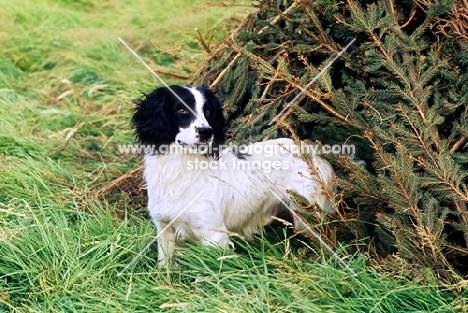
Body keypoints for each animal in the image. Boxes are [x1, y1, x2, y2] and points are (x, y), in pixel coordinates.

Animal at [132, 85, 336, 266]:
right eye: (181, 110)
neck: (180, 169)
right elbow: (165, 266)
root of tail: (310, 151)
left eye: (207, 111)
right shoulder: (164, 229)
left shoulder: (214, 235)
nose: (207, 132)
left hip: (308, 216)